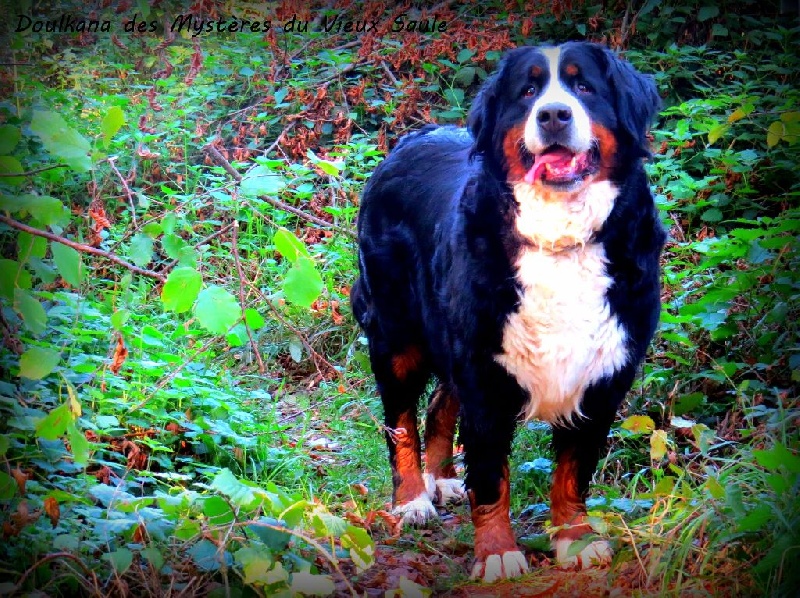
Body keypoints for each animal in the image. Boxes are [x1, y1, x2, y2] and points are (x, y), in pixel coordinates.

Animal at [350, 41, 664, 582]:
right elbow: (491, 476)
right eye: (528, 91)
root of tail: (411, 136)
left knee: (438, 406)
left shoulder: (603, 377)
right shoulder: (485, 375)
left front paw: (576, 540)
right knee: (400, 421)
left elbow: (573, 474)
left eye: (585, 87)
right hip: (397, 336)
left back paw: (441, 479)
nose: (554, 114)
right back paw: (412, 500)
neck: (559, 239)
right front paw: (497, 553)